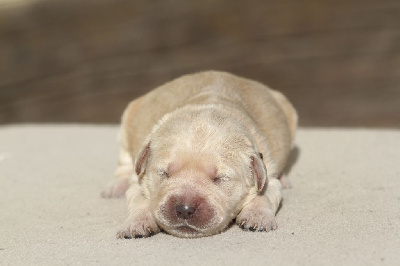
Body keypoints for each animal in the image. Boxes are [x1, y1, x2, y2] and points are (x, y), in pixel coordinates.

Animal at [102, 70, 296, 239]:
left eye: (220, 178)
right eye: (164, 173)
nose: (185, 209)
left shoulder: (267, 173)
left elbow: (265, 196)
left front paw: (257, 216)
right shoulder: (139, 181)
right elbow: (139, 201)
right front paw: (136, 223)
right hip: (127, 124)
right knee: (124, 164)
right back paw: (116, 186)